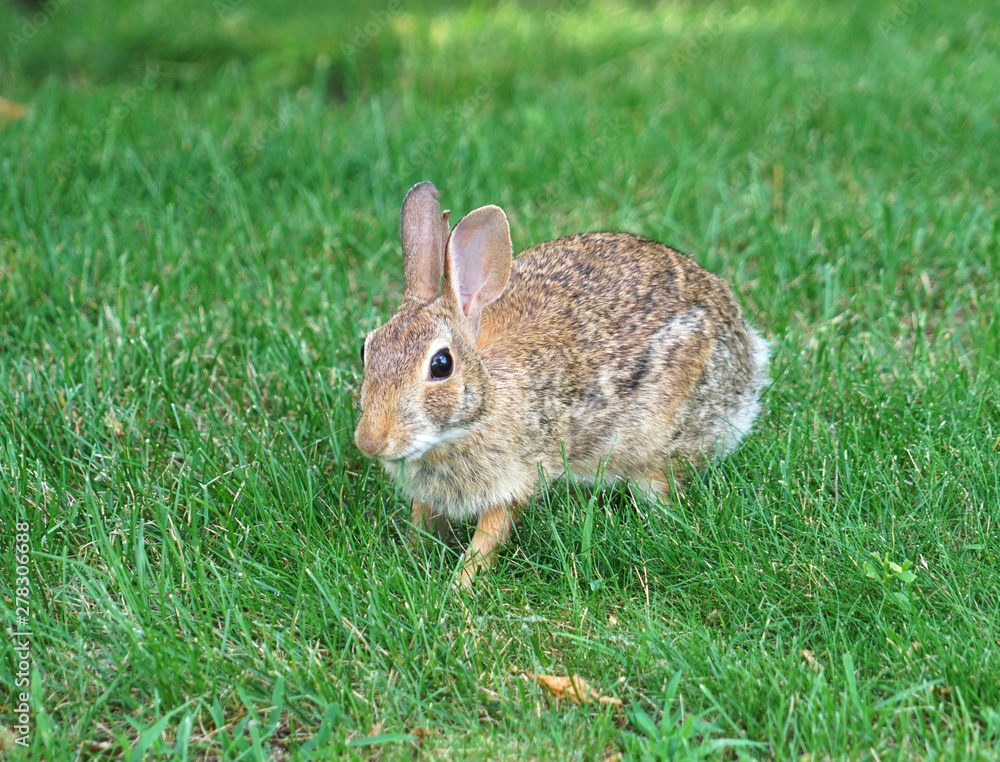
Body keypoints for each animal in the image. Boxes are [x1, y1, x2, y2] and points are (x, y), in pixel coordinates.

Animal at [355, 181, 769, 589]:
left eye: (441, 365)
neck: (479, 408)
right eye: (366, 349)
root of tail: (747, 350)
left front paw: (459, 589)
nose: (370, 441)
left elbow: (488, 539)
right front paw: (410, 556)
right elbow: (421, 521)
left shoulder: (513, 481)